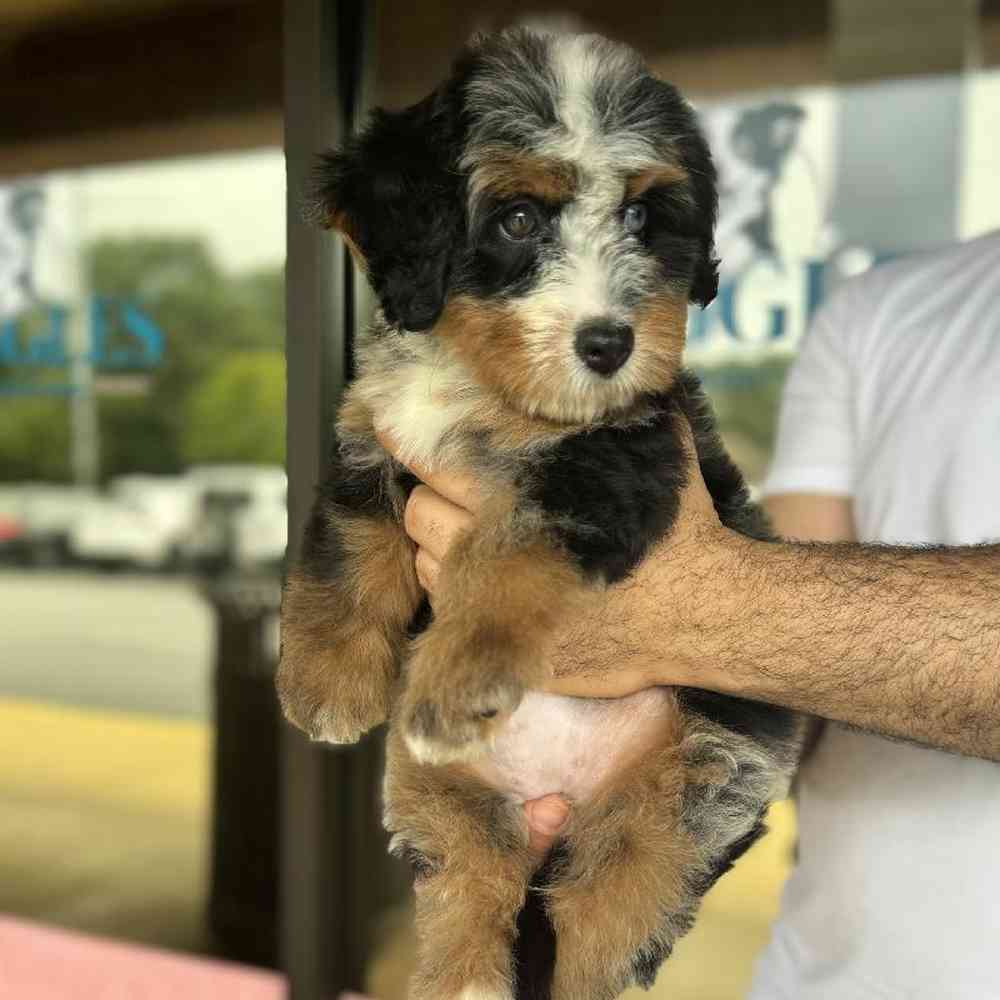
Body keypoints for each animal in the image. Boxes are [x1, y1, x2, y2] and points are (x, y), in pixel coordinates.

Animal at [278, 29, 808, 1000]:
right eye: (520, 220)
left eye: (642, 220)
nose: (610, 346)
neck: (484, 386)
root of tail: (559, 804)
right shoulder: (372, 433)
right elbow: (350, 546)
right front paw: (327, 683)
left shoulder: (614, 462)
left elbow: (504, 555)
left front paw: (456, 676)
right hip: (442, 798)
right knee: (472, 886)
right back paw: (462, 979)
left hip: (696, 788)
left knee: (601, 922)